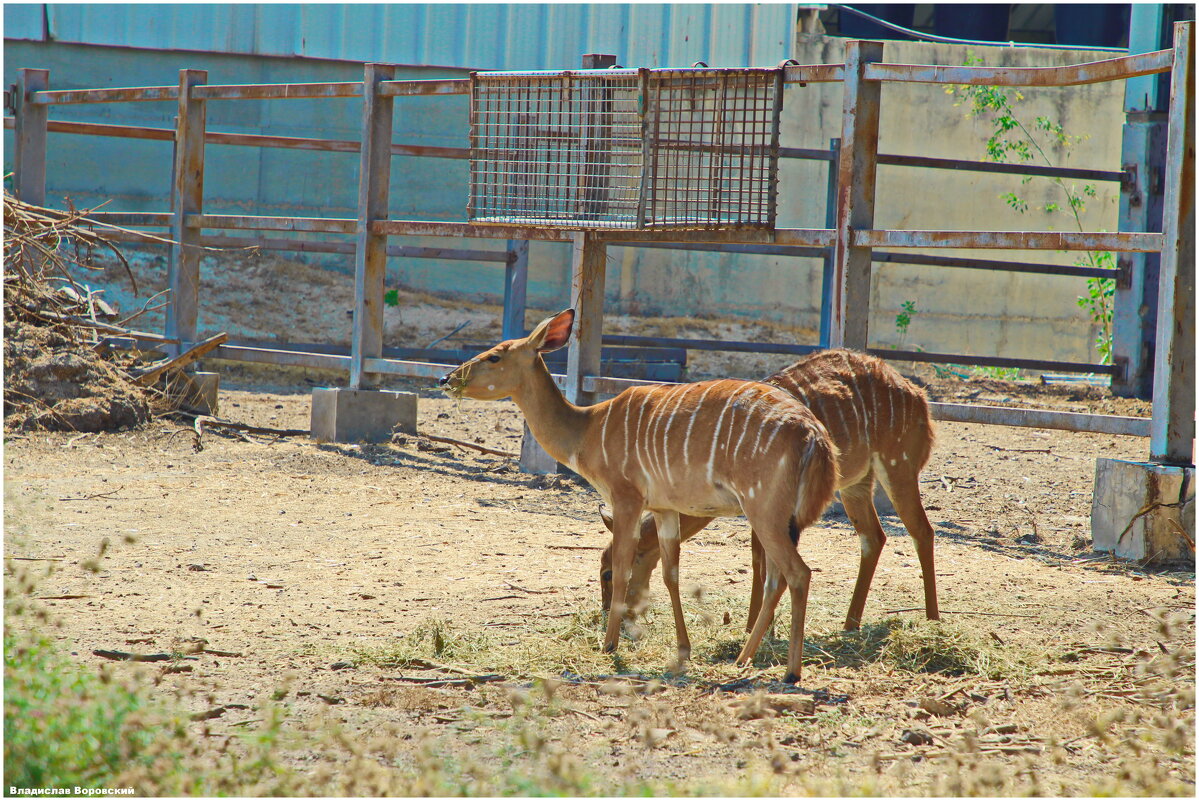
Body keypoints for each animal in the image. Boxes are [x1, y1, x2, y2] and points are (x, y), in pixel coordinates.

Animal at [436, 306, 839, 681]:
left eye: (494, 356)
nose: (446, 378)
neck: (588, 430)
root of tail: (814, 435)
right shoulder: (662, 507)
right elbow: (670, 574)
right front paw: (683, 649)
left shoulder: (626, 497)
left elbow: (623, 566)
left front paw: (609, 644)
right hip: (779, 517)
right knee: (776, 578)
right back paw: (743, 658)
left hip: (763, 510)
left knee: (797, 573)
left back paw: (790, 671)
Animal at [597, 347, 935, 633]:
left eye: (607, 573)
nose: (613, 615)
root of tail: (919, 395)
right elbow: (758, 560)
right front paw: (754, 626)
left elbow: (762, 561)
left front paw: (756, 627)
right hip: (856, 485)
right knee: (873, 537)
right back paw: (850, 623)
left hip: (898, 468)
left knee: (921, 530)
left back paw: (933, 619)